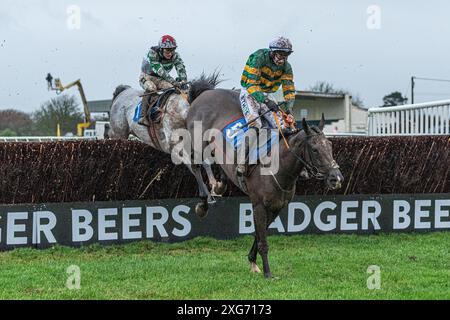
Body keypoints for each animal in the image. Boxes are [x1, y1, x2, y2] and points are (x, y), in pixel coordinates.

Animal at [186, 87, 344, 278]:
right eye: (314, 149)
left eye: (330, 145)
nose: (336, 178)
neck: (279, 167)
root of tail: (205, 92)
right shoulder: (259, 205)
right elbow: (263, 241)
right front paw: (267, 272)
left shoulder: (277, 206)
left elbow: (259, 234)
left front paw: (252, 261)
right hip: (198, 142)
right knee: (196, 165)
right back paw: (203, 203)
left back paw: (219, 185)